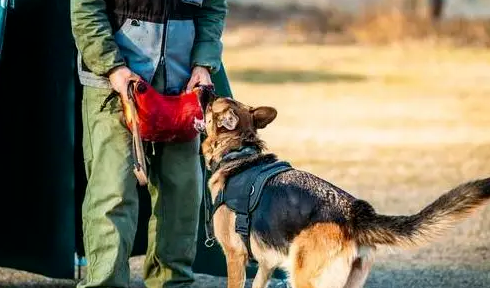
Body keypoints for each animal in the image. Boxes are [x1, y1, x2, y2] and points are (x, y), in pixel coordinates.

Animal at [199, 95, 490, 286]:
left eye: (213, 104)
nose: (206, 89)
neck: (238, 152)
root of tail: (356, 213)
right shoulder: (267, 264)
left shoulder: (235, 257)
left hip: (304, 278)